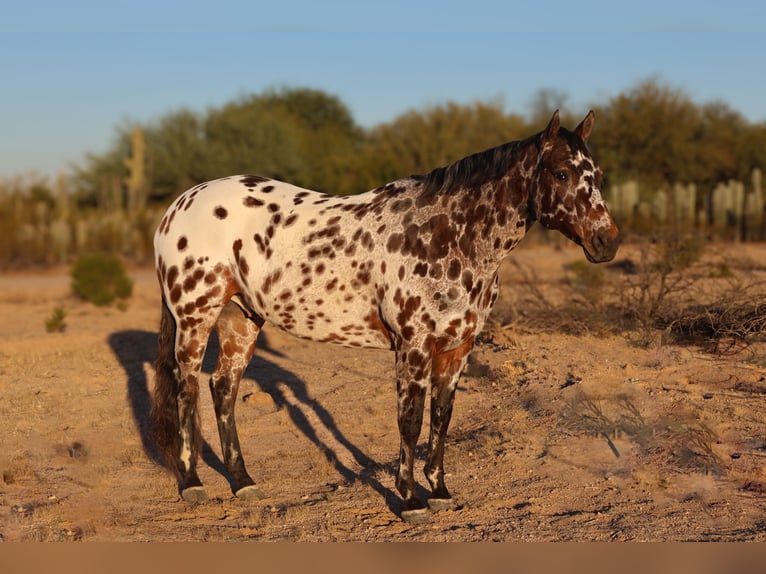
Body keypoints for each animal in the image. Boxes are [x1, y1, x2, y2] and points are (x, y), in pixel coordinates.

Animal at [153, 111, 620, 528]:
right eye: (561, 173)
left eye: (596, 174)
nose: (607, 242)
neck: (448, 236)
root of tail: (179, 205)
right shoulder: (413, 347)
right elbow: (410, 421)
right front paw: (411, 499)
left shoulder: (458, 348)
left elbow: (441, 417)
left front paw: (440, 491)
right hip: (195, 318)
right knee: (187, 387)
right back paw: (192, 483)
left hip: (241, 318)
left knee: (223, 389)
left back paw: (243, 481)